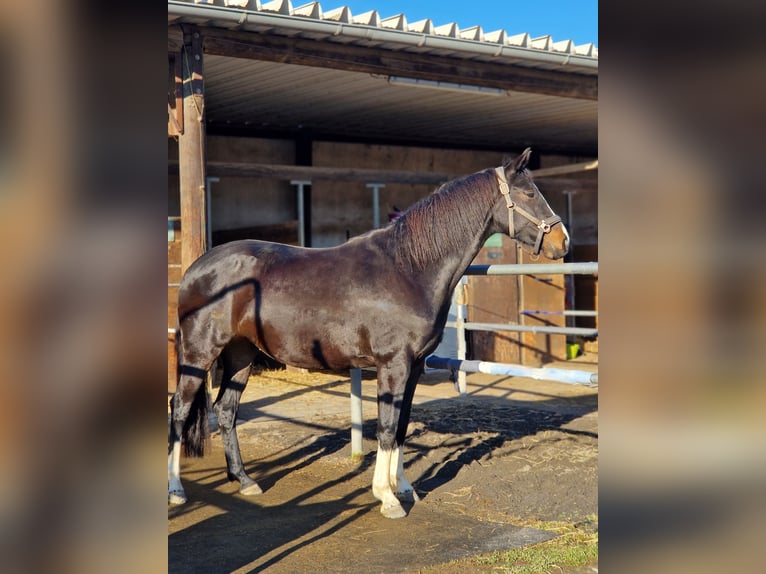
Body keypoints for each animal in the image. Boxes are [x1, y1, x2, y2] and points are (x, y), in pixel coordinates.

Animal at [168, 148, 569, 518]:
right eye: (529, 193)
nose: (562, 242)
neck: (409, 268)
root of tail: (196, 268)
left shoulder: (415, 366)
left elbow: (402, 426)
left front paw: (404, 487)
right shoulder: (393, 365)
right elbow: (388, 428)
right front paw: (387, 498)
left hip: (241, 353)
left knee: (226, 410)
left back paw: (245, 481)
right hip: (199, 354)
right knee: (180, 409)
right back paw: (176, 491)